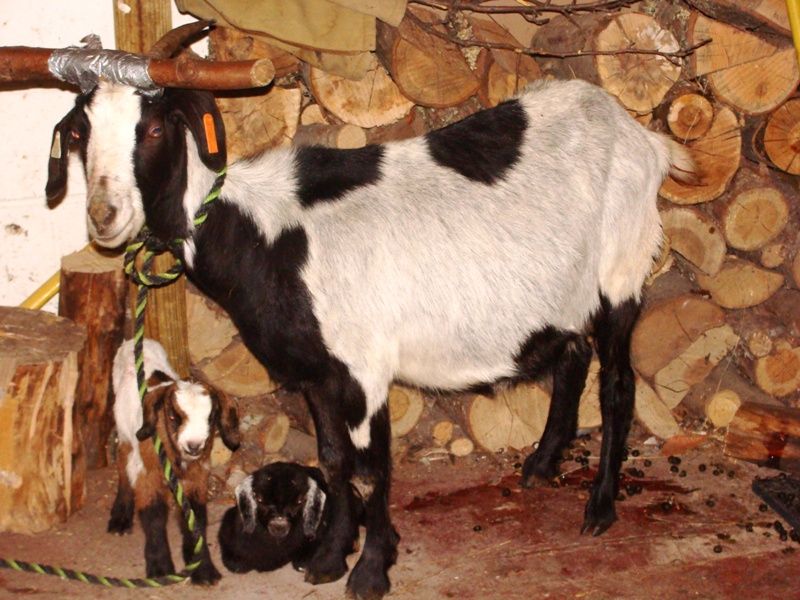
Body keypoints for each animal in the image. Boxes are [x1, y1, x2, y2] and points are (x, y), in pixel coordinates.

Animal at [108, 338, 241, 584]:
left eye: (211, 417)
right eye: (172, 416)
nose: (194, 445)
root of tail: (135, 340)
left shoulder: (197, 475)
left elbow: (196, 517)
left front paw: (203, 568)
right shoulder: (147, 472)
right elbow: (154, 515)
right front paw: (160, 567)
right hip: (124, 432)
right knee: (123, 462)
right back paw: (120, 518)